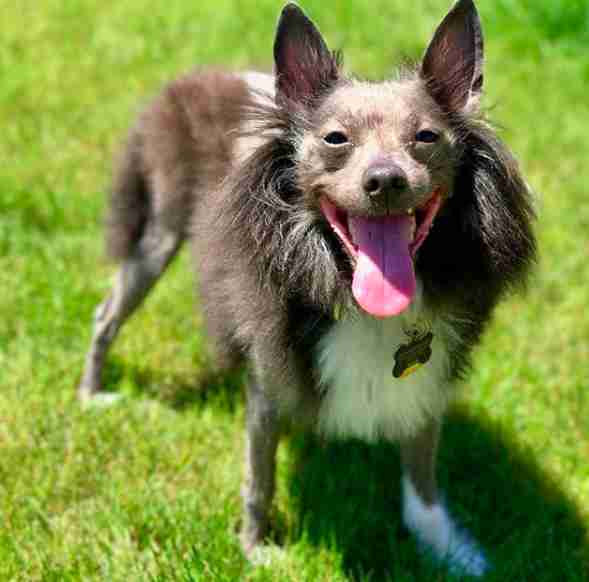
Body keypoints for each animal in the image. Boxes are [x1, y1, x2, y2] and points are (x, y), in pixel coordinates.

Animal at [80, 0, 536, 576]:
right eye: (335, 139)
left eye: (426, 137)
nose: (385, 181)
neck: (346, 287)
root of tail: (198, 76)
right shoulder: (268, 380)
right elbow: (260, 479)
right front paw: (255, 550)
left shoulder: (426, 379)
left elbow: (423, 479)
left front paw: (448, 548)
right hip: (157, 236)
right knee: (105, 314)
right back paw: (92, 395)